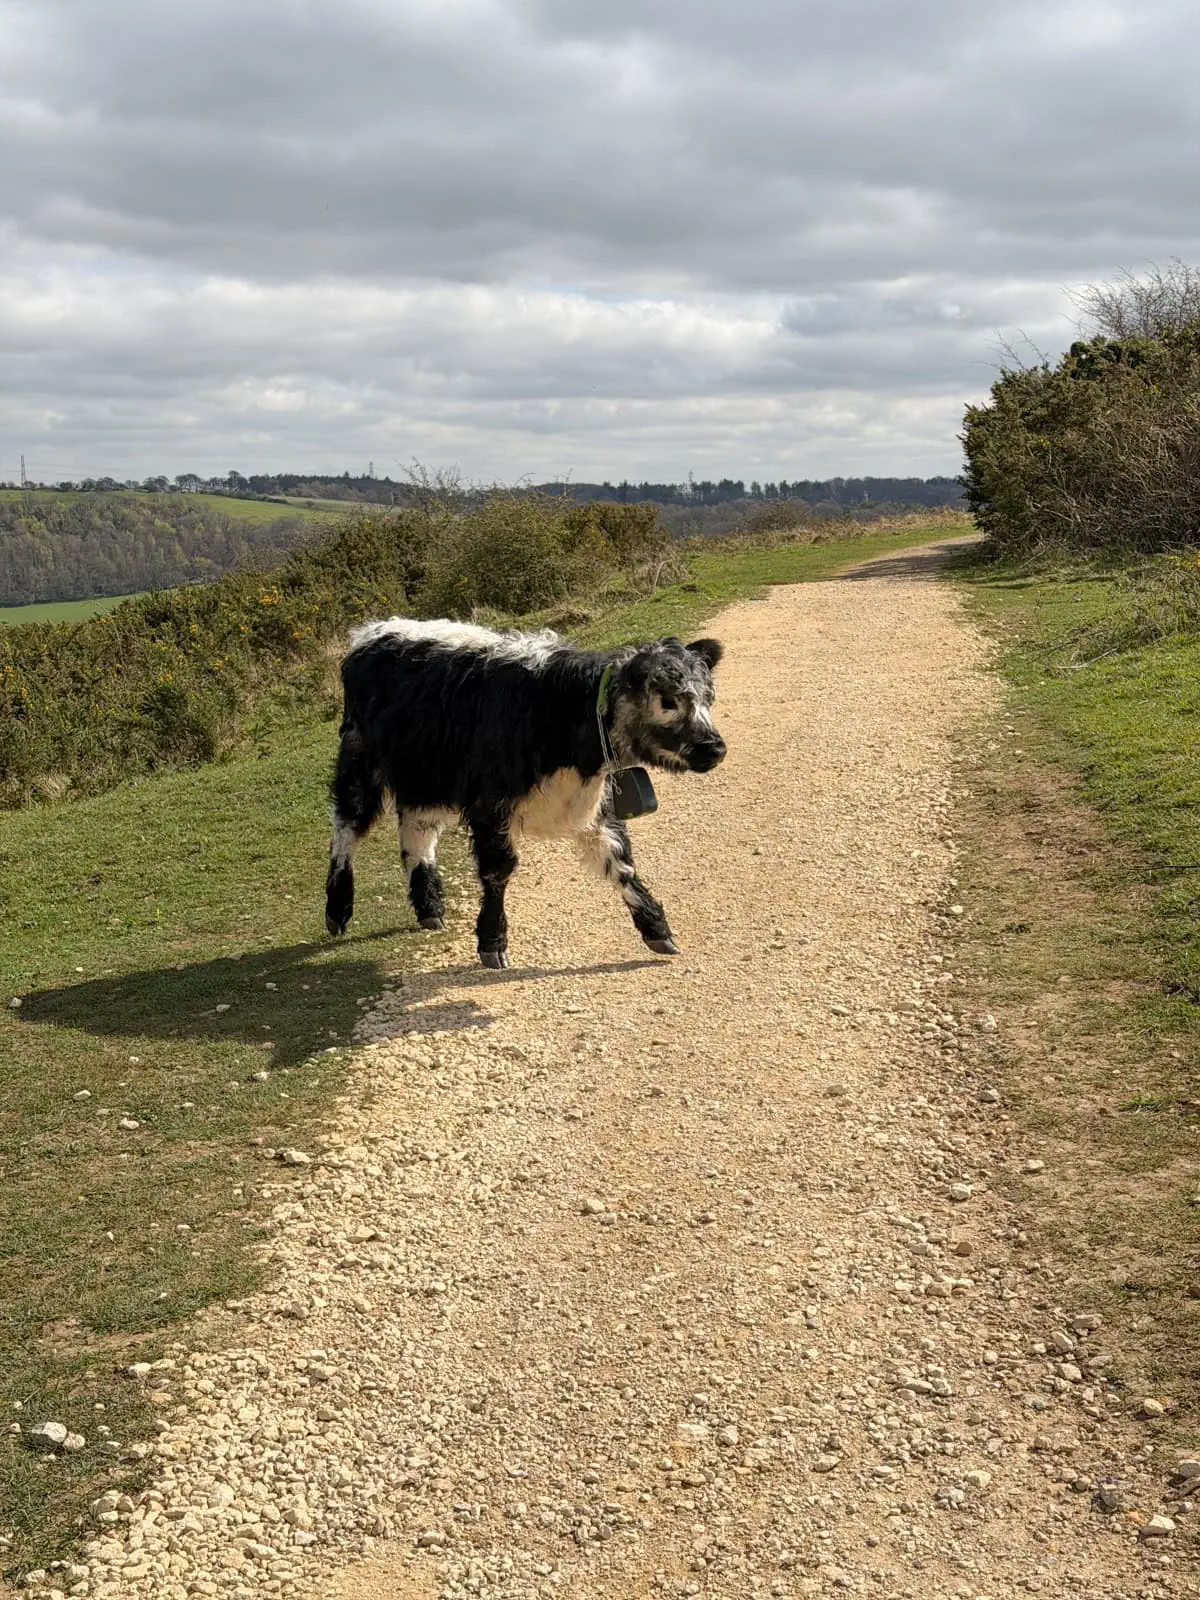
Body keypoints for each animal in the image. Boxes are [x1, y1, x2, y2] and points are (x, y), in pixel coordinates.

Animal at [324, 619, 726, 968]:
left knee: (416, 832)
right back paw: (337, 911)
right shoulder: (489, 804)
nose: (715, 748)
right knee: (346, 827)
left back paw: (430, 909)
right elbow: (498, 869)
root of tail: (372, 632)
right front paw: (492, 943)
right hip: (360, 762)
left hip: (425, 779)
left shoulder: (597, 809)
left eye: (708, 698)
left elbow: (622, 864)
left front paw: (657, 929)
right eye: (667, 700)